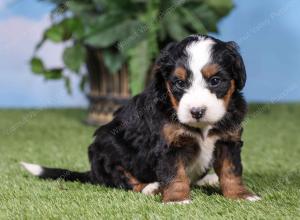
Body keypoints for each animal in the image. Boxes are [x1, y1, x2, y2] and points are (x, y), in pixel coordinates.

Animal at [21, 34, 260, 205]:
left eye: (215, 81)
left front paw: (241, 195)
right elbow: (175, 174)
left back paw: (209, 179)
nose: (197, 111)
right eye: (179, 83)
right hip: (106, 150)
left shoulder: (228, 140)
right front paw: (177, 199)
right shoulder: (169, 144)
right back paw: (150, 187)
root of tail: (93, 172)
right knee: (122, 179)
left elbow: (231, 170)